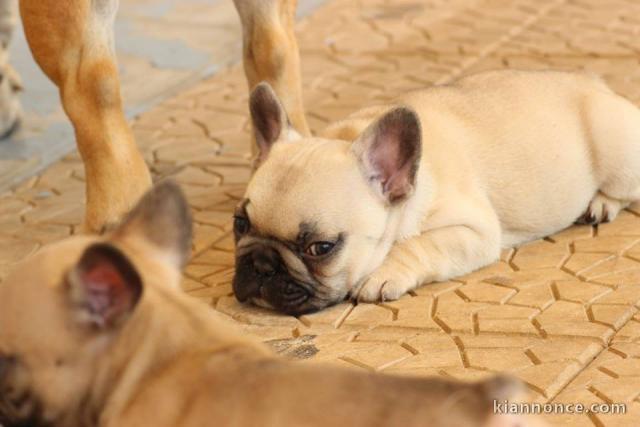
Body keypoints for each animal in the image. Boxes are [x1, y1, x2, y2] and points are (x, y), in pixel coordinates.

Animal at [231, 70, 640, 314]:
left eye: (321, 248)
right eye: (239, 224)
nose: (261, 263)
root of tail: (600, 85)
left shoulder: (474, 231)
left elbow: (418, 244)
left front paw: (383, 273)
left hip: (619, 156)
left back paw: (602, 203)